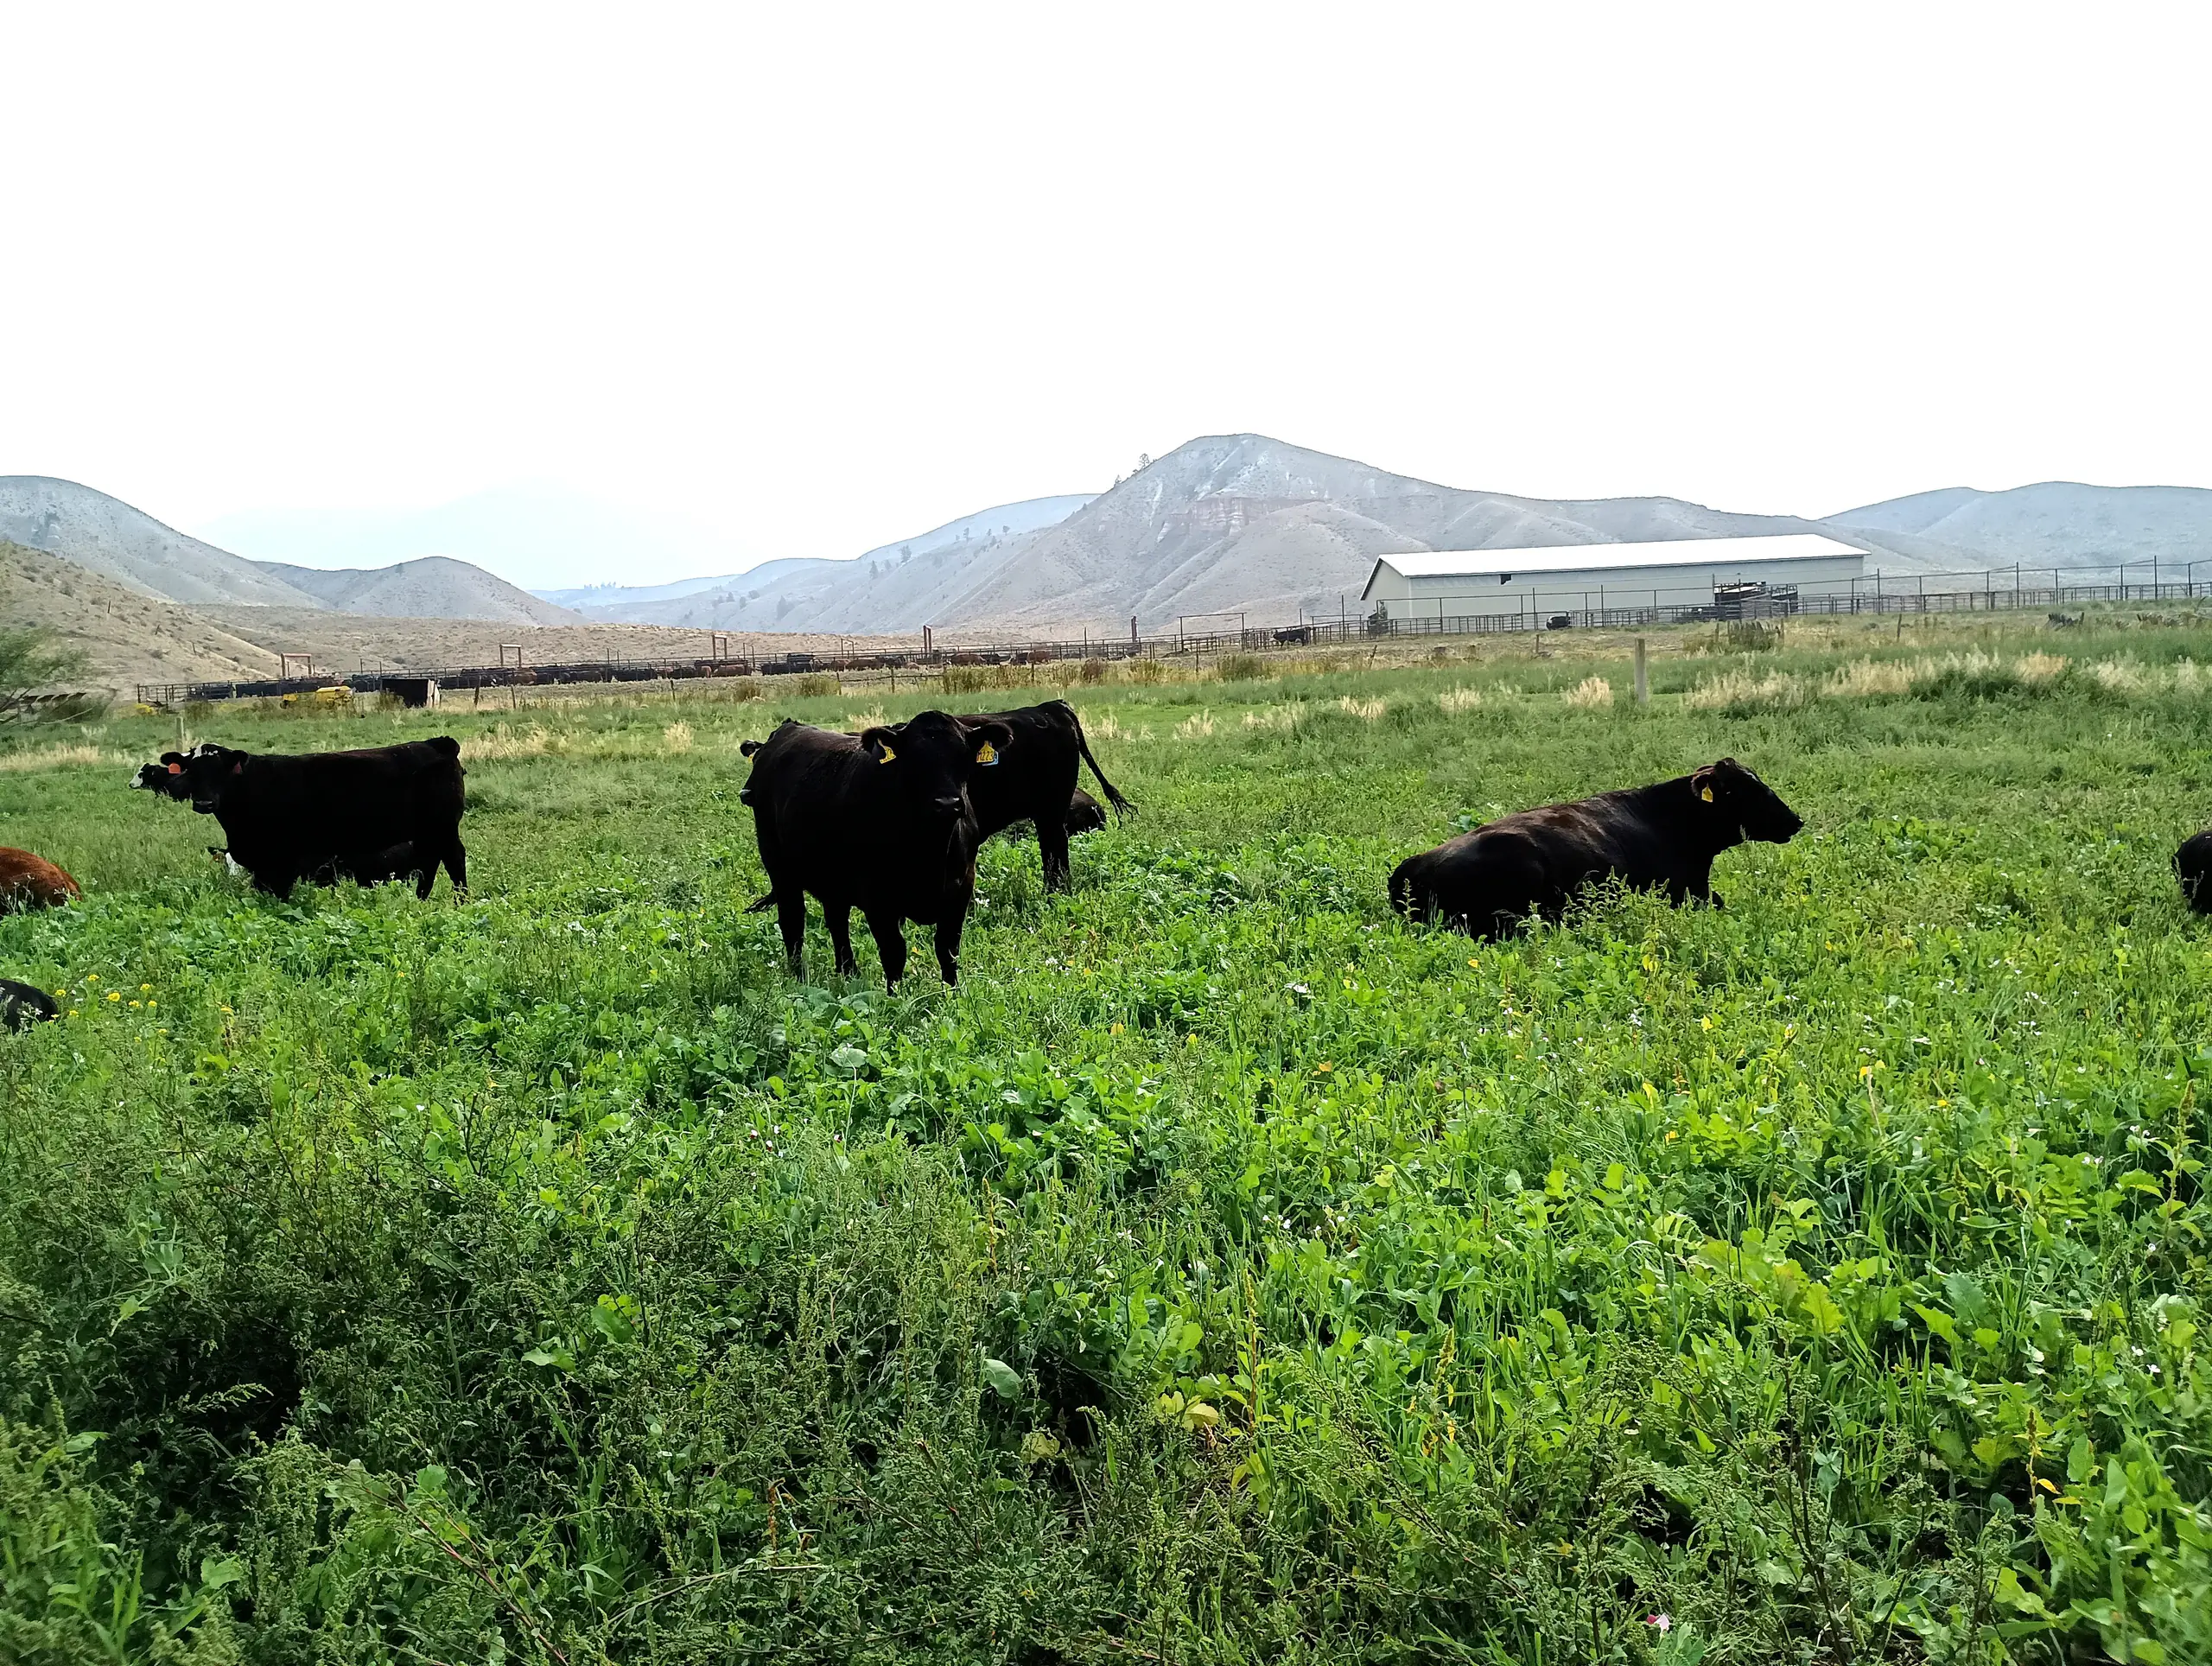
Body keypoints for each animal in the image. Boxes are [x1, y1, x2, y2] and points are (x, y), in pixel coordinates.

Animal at [132, 739, 467, 901]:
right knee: (429, 863)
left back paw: (460, 903)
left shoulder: (282, 862)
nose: (203, 803)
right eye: (192, 770)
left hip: (443, 828)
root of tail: (436, 743)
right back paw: (420, 901)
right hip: (426, 833)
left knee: (453, 860)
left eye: (222, 770)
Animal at [738, 710, 1013, 988]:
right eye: (913, 760)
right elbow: (894, 951)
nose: (947, 803)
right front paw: (895, 995)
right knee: (793, 922)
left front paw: (951, 991)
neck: (932, 850)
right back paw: (799, 978)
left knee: (837, 921)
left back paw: (849, 973)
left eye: (964, 755)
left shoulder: (962, 887)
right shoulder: (876, 894)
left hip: (832, 877)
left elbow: (948, 948)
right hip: (779, 868)